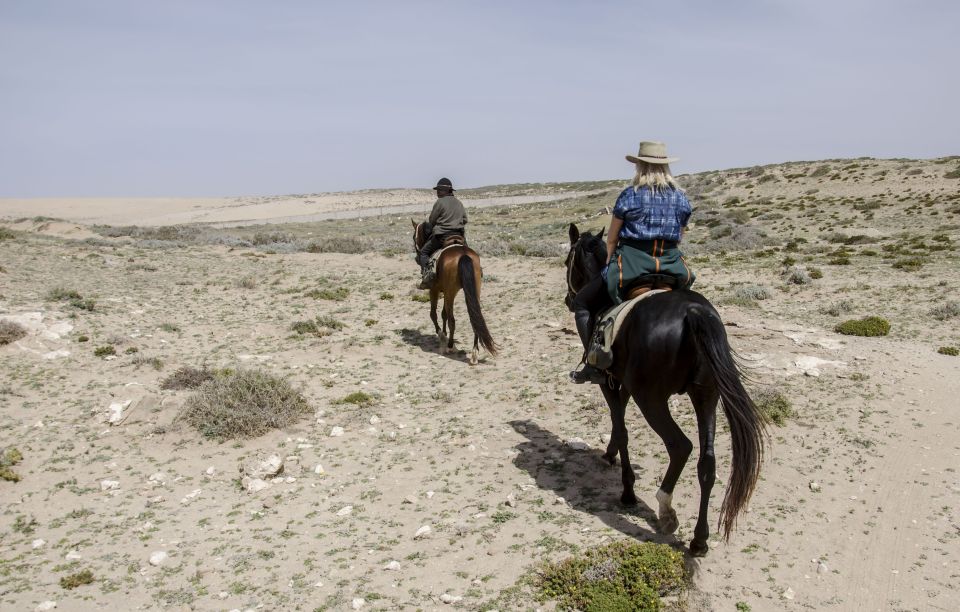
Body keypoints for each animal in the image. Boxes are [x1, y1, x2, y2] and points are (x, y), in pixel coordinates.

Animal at [410, 220, 498, 364]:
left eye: (414, 237)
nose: (417, 257)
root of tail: (463, 255)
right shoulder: (446, 291)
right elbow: (443, 314)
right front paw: (444, 333)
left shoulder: (434, 290)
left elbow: (434, 314)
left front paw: (442, 335)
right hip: (472, 291)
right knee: (475, 317)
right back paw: (474, 352)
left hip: (450, 292)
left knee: (453, 320)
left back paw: (450, 346)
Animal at [564, 224, 764, 556]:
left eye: (567, 261)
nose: (570, 299)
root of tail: (693, 311)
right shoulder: (623, 384)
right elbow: (618, 426)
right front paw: (610, 454)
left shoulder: (609, 382)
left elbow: (621, 429)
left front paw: (627, 490)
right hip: (707, 395)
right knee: (707, 462)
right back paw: (699, 540)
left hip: (652, 399)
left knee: (680, 446)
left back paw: (666, 511)